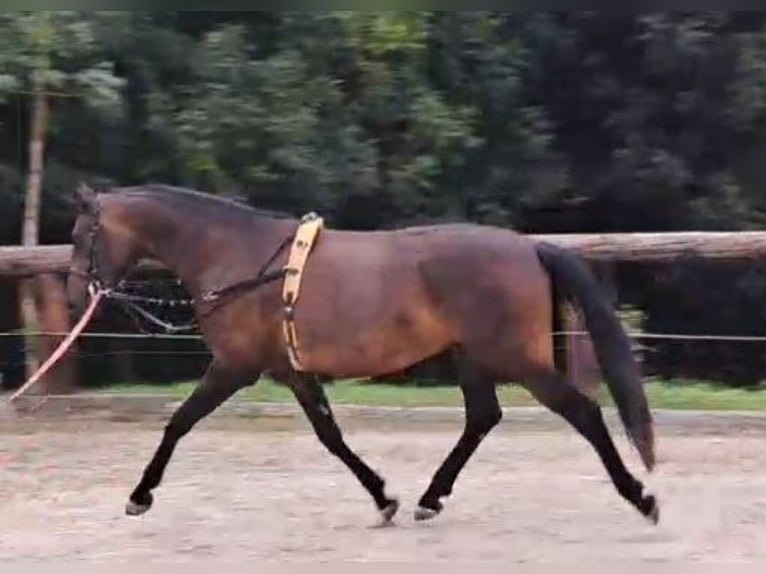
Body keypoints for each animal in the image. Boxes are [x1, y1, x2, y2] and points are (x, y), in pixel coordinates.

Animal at [67, 183, 660, 528]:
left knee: (582, 411)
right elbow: (330, 435)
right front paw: (384, 498)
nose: (76, 296)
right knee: (483, 418)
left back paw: (641, 498)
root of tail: (529, 246)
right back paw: (429, 498)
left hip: (518, 359)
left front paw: (139, 495)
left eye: (79, 235)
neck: (239, 258)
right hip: (471, 356)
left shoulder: (236, 367)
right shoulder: (290, 371)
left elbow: (178, 422)